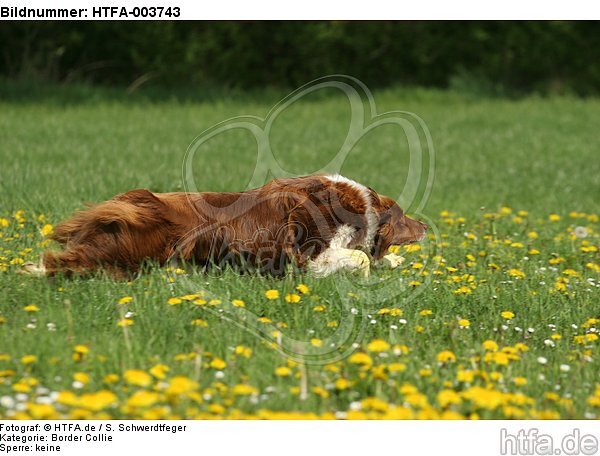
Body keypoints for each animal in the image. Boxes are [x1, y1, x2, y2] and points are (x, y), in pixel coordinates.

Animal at [24, 175, 426, 280]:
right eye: (404, 217)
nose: (424, 225)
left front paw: (392, 263)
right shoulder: (307, 256)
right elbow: (360, 259)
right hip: (129, 254)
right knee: (63, 261)